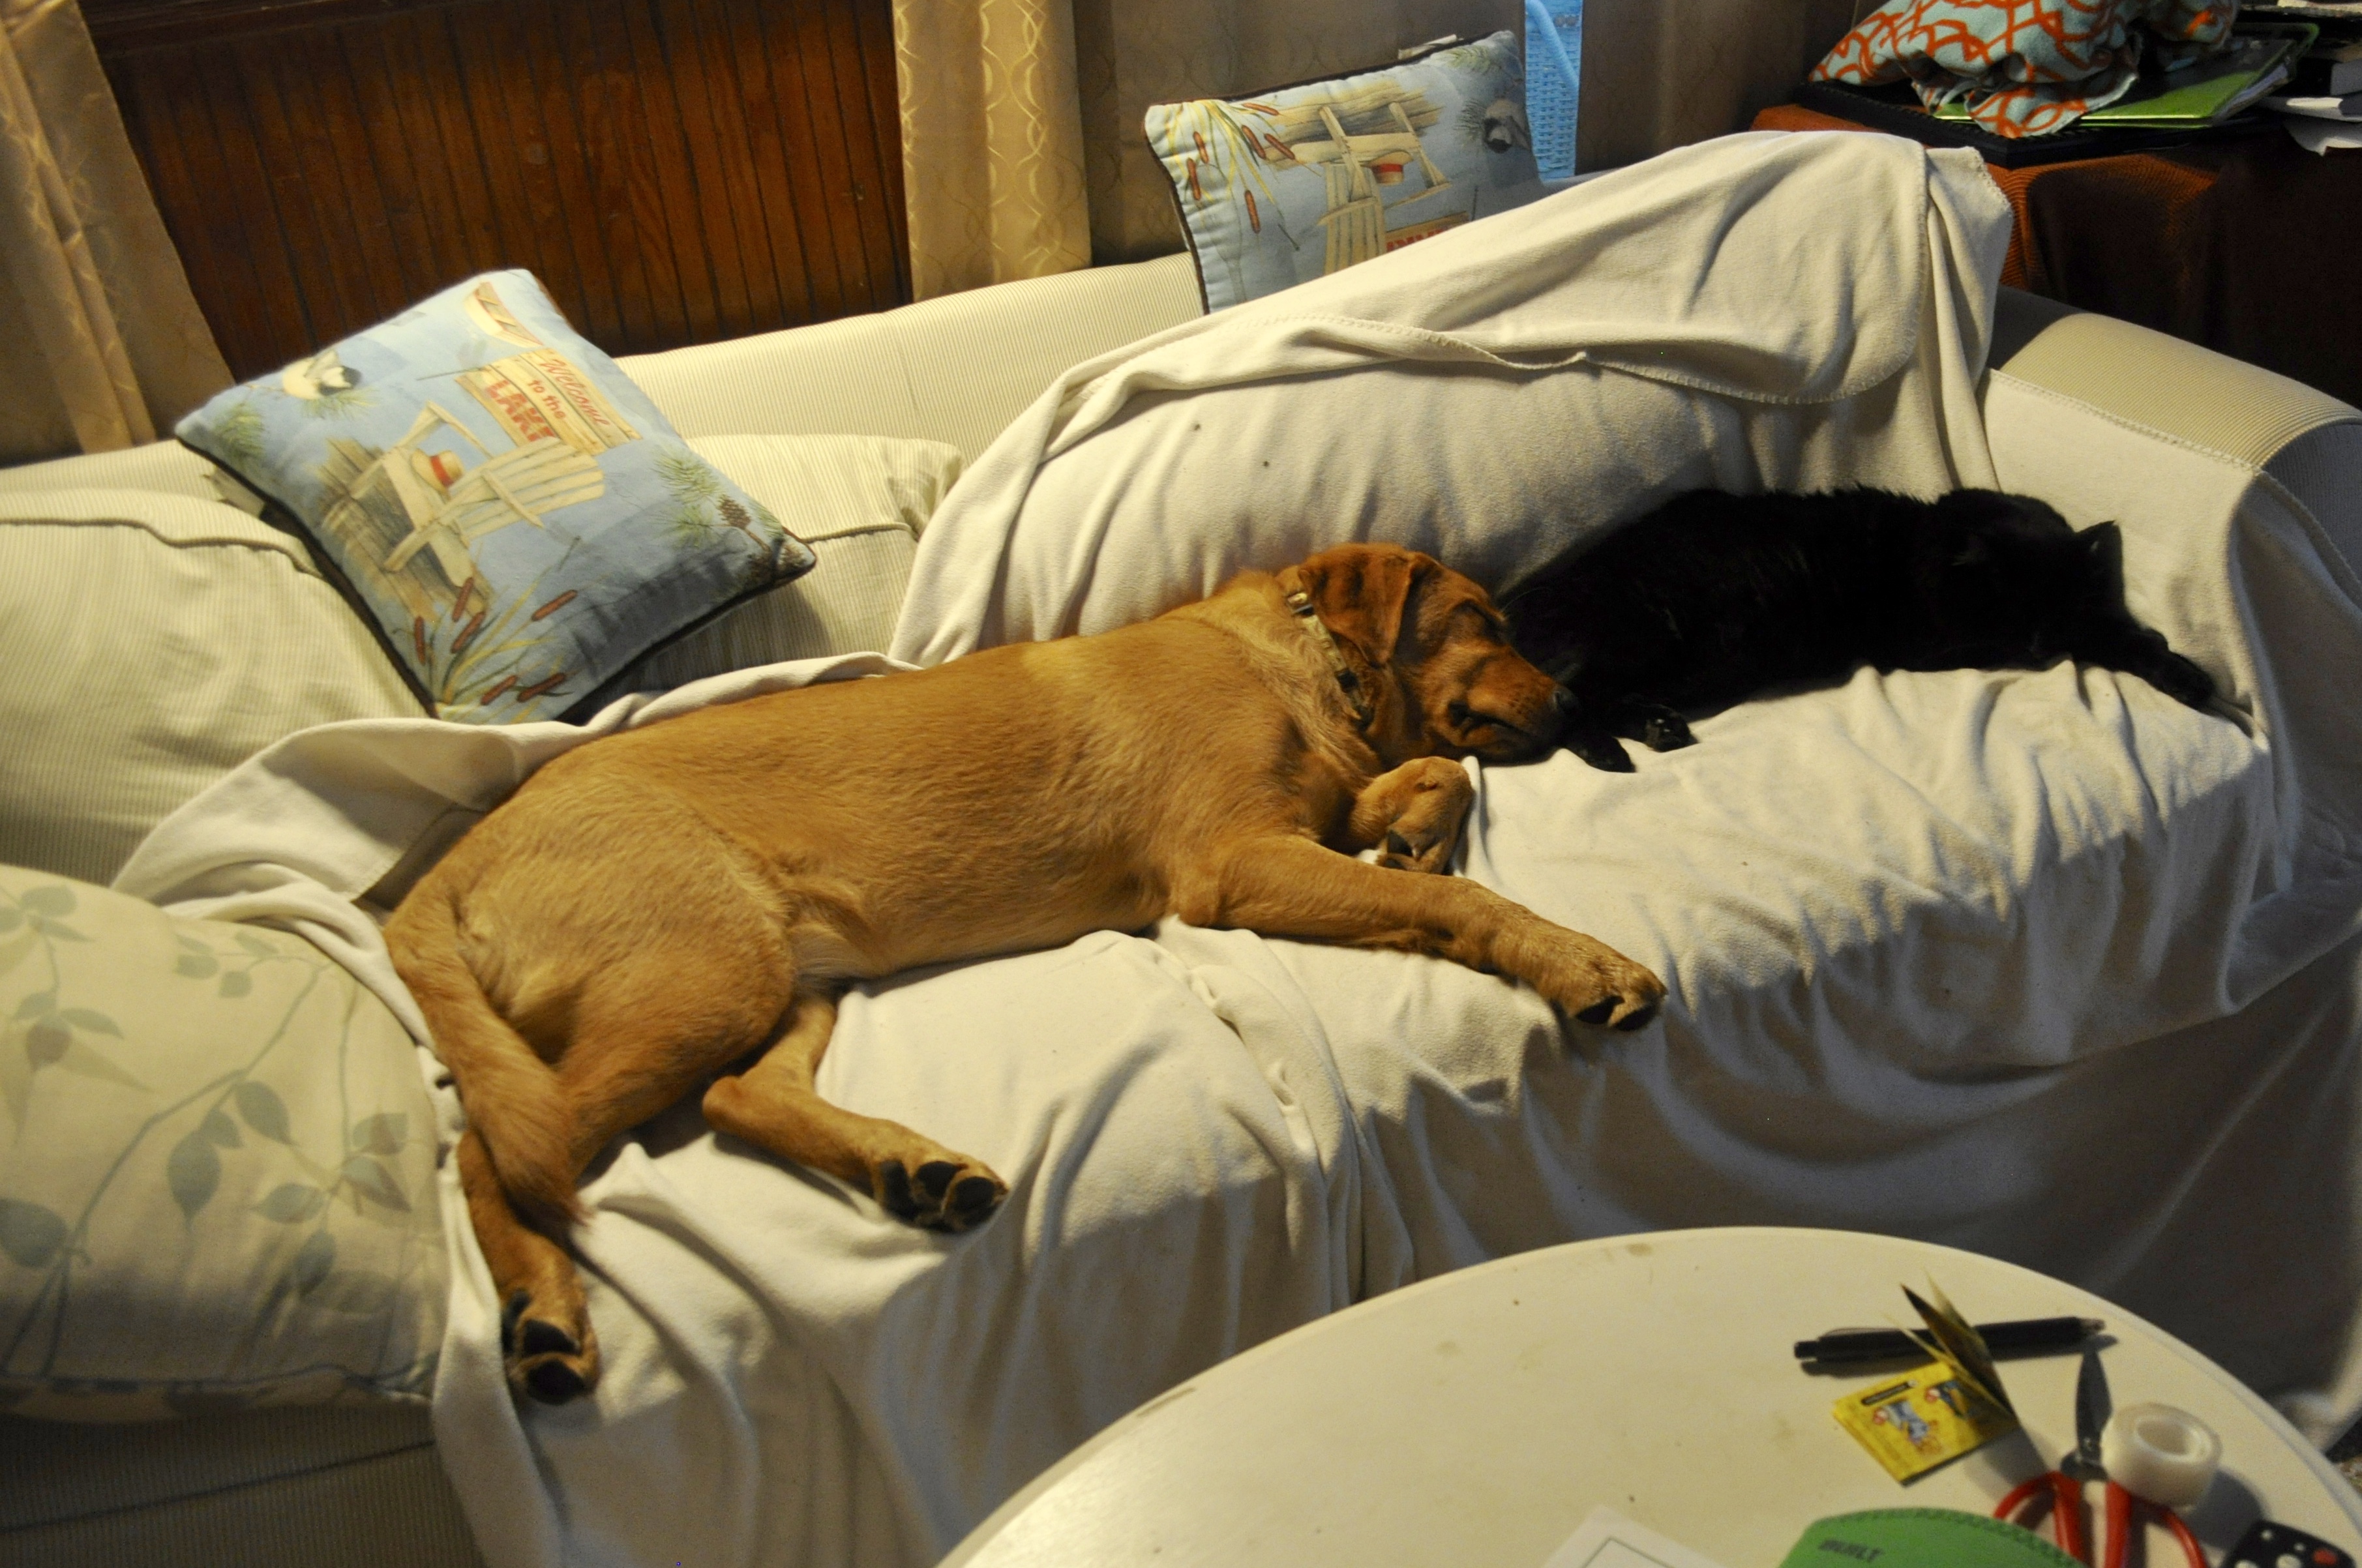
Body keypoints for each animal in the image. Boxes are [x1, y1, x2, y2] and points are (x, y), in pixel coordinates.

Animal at [386, 543, 1666, 1403]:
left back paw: (912, 1169)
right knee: (489, 1150)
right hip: (702, 977)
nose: (1573, 700)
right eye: (1481, 621)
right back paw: (545, 1314)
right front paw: (1579, 958)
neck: (1296, 665)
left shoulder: (1309, 816)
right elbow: (1457, 900)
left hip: (784, 982)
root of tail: (435, 879)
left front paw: (1421, 830)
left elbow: (1438, 787)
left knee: (737, 1095)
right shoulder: (1234, 862)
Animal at [1503, 487, 2217, 772]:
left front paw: (2185, 675)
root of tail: (1512, 604)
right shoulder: (1940, 643)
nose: (2040, 649)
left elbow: (2118, 634)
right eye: (2011, 611)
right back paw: (1613, 749)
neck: (1926, 543)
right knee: (1565, 704)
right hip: (1642, 632)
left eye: (2048, 612)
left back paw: (1658, 729)